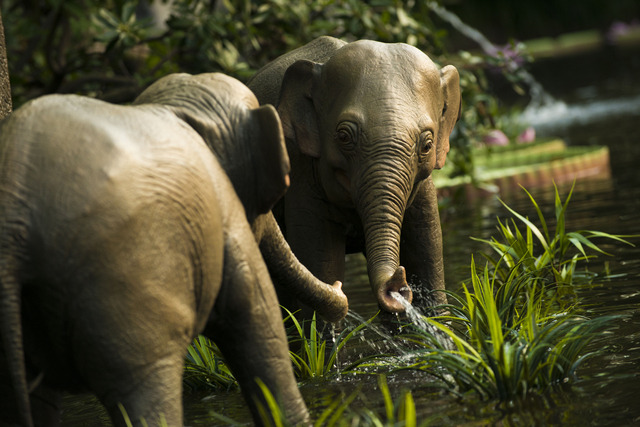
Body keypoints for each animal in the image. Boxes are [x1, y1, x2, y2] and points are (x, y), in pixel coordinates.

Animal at [245, 36, 460, 314]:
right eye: (343, 136)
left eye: (427, 144)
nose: (397, 287)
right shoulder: (301, 172)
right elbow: (321, 264)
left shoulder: (424, 190)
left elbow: (426, 257)